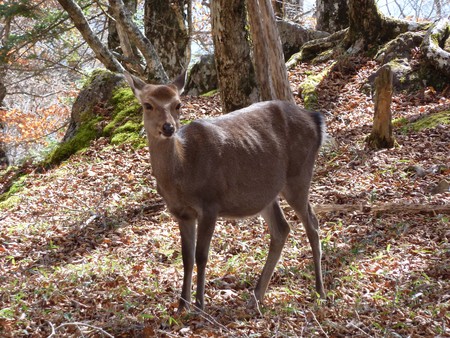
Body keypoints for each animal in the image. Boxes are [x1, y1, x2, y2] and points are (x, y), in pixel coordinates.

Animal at [124, 72, 326, 312]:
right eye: (148, 105)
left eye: (178, 104)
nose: (168, 128)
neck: (182, 174)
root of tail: (316, 119)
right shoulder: (182, 213)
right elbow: (186, 257)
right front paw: (182, 305)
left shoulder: (210, 204)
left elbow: (201, 255)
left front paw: (199, 305)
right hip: (266, 193)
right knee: (282, 228)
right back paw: (256, 296)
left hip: (299, 175)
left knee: (312, 224)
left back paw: (320, 291)